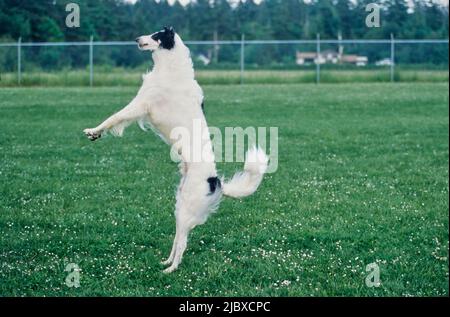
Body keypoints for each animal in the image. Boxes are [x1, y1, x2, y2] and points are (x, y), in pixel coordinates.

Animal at [83, 26, 268, 272]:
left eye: (156, 35)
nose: (136, 39)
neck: (170, 66)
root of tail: (215, 180)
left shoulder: (140, 104)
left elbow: (113, 118)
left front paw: (93, 131)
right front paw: (96, 134)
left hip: (186, 209)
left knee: (182, 244)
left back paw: (170, 269)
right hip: (179, 208)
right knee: (177, 239)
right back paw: (166, 261)